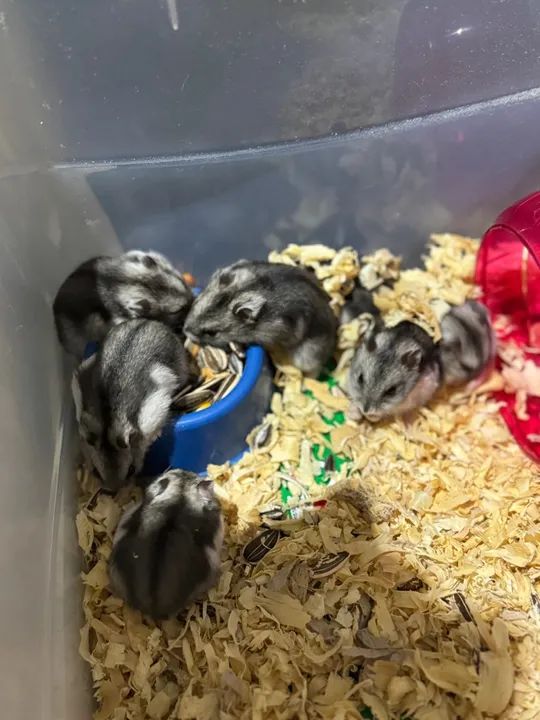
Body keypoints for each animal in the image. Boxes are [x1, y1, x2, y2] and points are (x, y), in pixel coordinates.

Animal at [72, 319, 194, 491]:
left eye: (131, 470)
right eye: (95, 472)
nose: (113, 491)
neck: (108, 422)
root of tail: (150, 321)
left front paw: (156, 436)